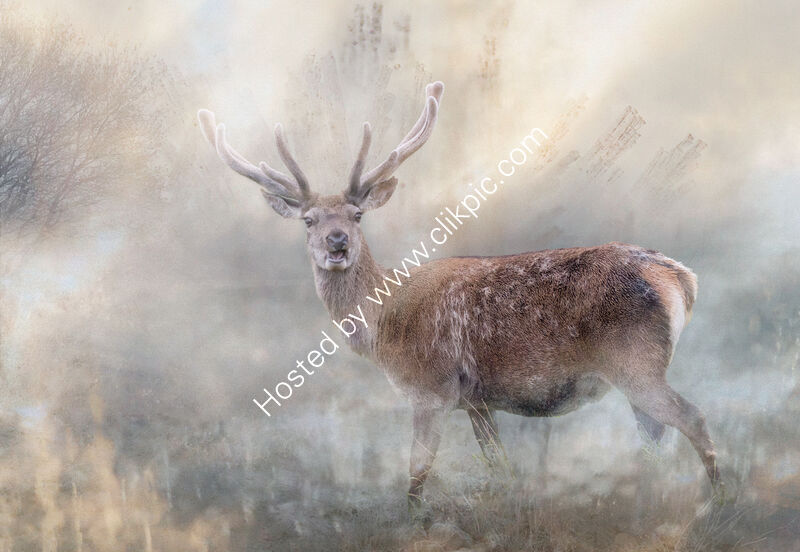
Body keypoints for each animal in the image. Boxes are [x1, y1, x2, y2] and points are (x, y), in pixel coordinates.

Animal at [197, 81, 723, 519]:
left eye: (357, 215)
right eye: (308, 220)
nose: (337, 243)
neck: (385, 327)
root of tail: (679, 275)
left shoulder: (431, 388)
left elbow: (417, 471)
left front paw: (414, 522)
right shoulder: (478, 400)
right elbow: (500, 468)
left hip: (635, 361)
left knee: (691, 418)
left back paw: (716, 503)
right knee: (654, 440)